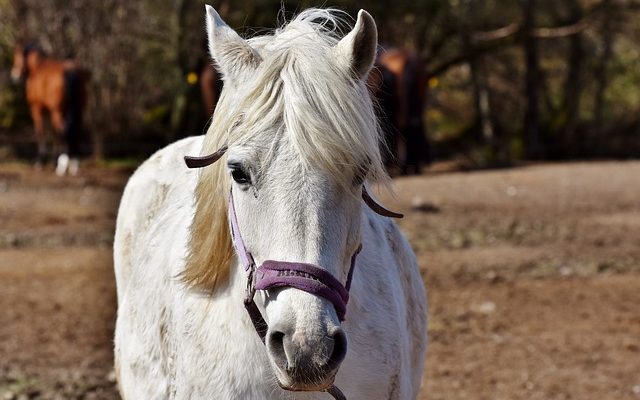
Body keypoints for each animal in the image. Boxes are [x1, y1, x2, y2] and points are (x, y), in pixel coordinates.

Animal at [10, 43, 87, 175]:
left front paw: (41, 161)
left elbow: (41, 132)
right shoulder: (48, 111)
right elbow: (53, 134)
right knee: (75, 131)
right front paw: (53, 160)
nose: (14, 75)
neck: (37, 69)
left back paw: (62, 165)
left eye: (17, 56)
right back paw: (73, 164)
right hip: (77, 111)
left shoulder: (36, 109)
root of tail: (70, 70)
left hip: (58, 112)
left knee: (63, 132)